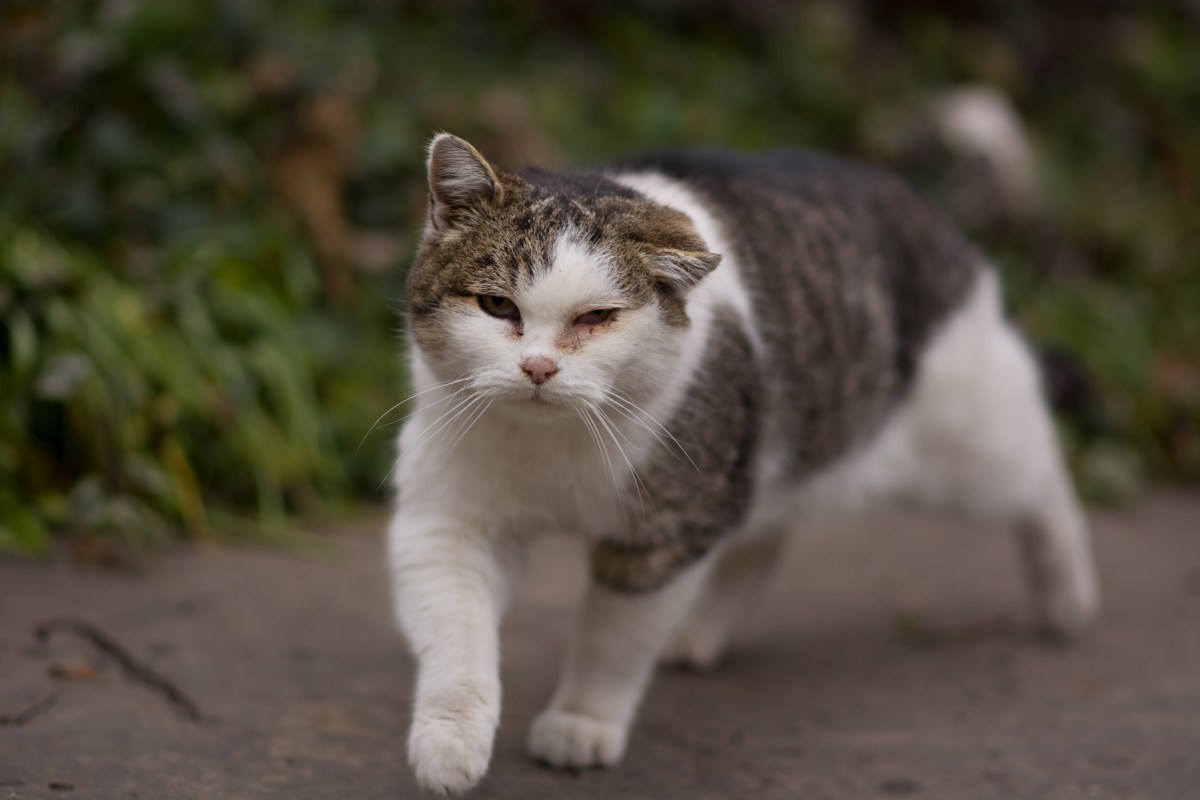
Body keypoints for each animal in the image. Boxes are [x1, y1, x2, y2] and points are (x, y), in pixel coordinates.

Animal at [384, 133, 1099, 796]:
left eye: (598, 318)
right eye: (497, 306)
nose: (537, 368)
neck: (551, 450)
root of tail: (916, 202)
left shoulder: (668, 530)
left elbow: (614, 640)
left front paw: (582, 722)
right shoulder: (446, 520)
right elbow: (456, 630)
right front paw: (450, 744)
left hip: (967, 439)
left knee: (1041, 468)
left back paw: (1068, 597)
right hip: (765, 453)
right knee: (764, 529)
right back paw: (697, 632)